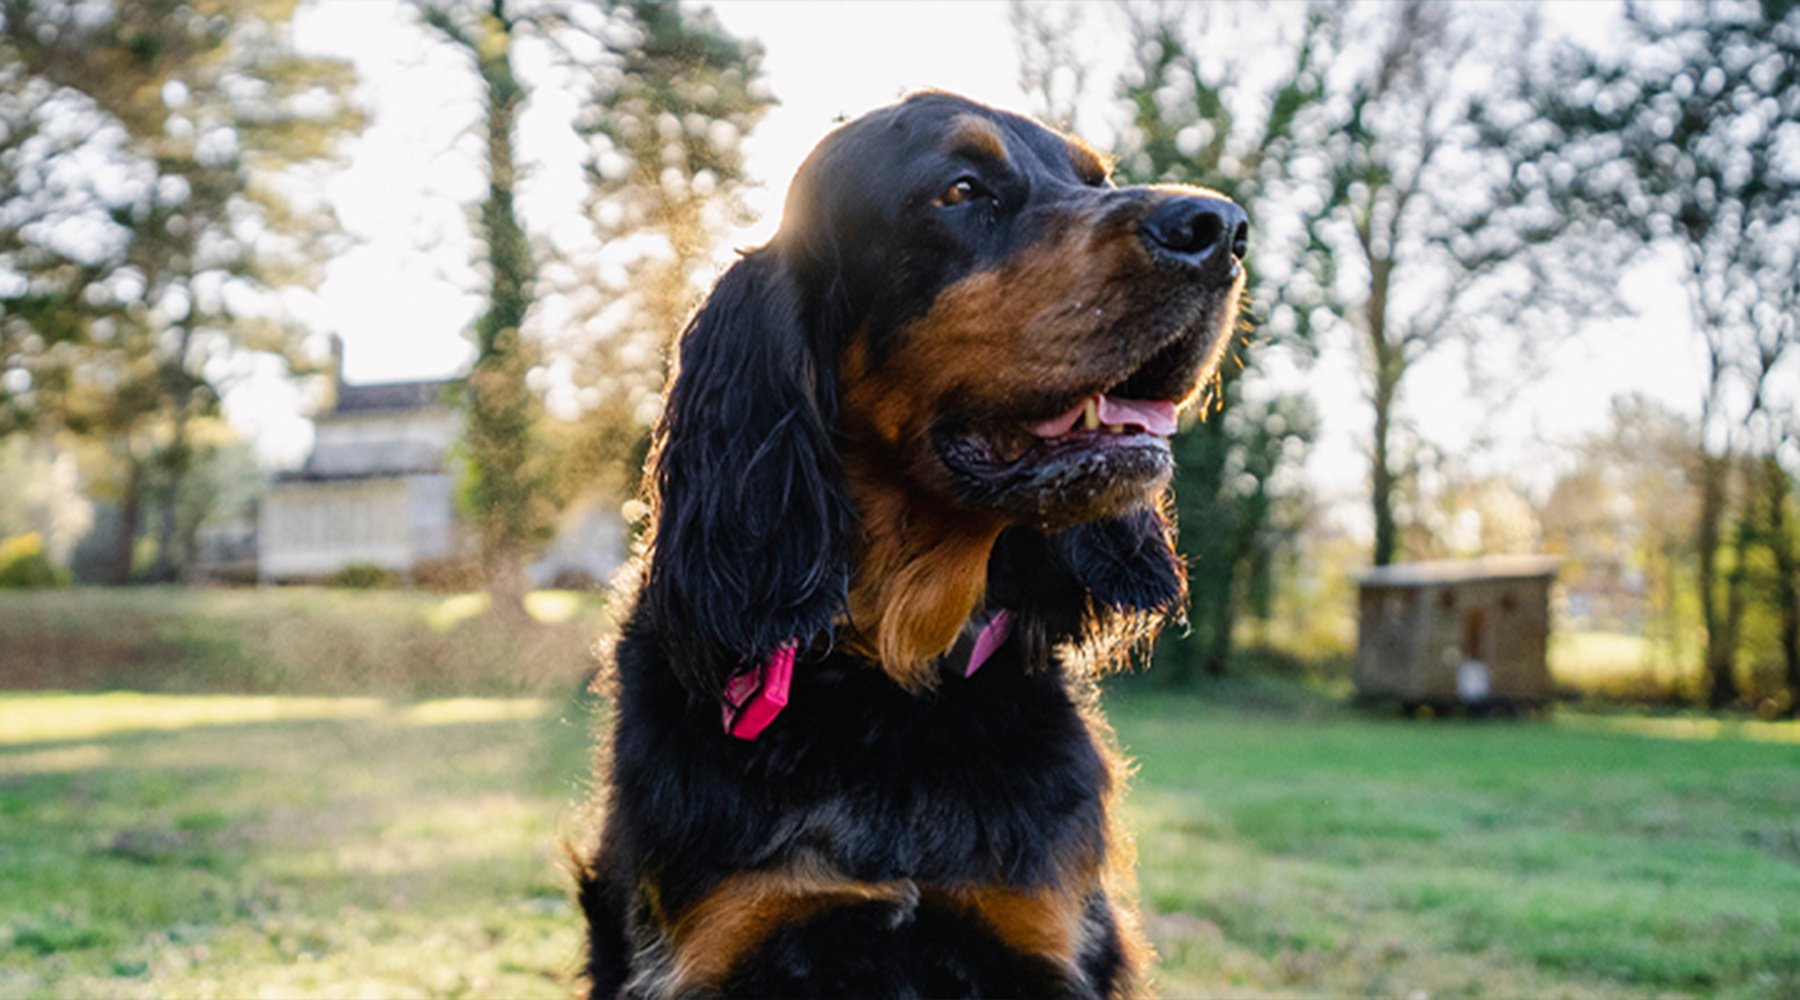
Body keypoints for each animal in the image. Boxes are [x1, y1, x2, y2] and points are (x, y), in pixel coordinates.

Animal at [583, 89, 1245, 992]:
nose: (1224, 227)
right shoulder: (720, 942)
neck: (893, 674)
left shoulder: (1038, 929)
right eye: (960, 191)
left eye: (1095, 181)